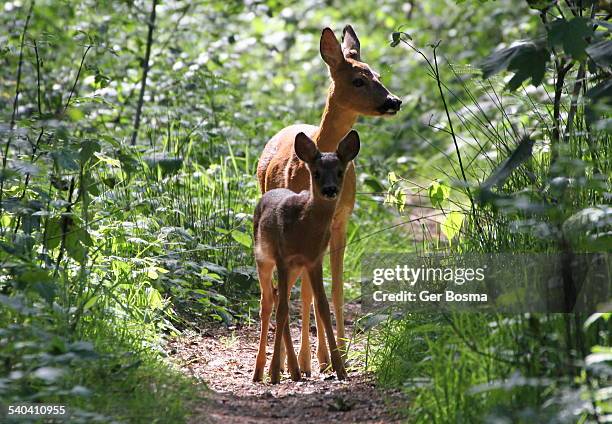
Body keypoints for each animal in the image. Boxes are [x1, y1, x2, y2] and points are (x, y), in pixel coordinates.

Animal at [252, 130, 358, 384]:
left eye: (340, 172)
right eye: (316, 173)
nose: (330, 189)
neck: (304, 226)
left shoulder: (313, 260)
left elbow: (322, 306)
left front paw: (339, 368)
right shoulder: (282, 258)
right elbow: (282, 309)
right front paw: (274, 372)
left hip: (295, 268)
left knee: (279, 297)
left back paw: (294, 369)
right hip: (264, 260)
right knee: (267, 303)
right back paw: (261, 371)